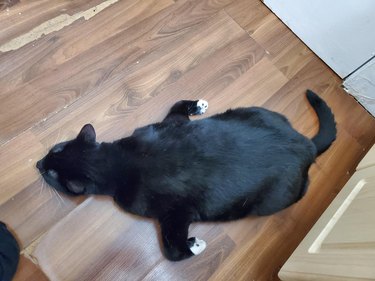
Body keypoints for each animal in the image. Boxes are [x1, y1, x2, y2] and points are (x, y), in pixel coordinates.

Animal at [36, 89, 338, 260]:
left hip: (275, 199)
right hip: (257, 111)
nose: (38, 164)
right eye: (55, 149)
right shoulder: (169, 126)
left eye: (51, 171)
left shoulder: (175, 211)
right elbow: (177, 107)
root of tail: (306, 145)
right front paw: (198, 105)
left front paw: (195, 246)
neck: (116, 161)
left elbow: (170, 250)